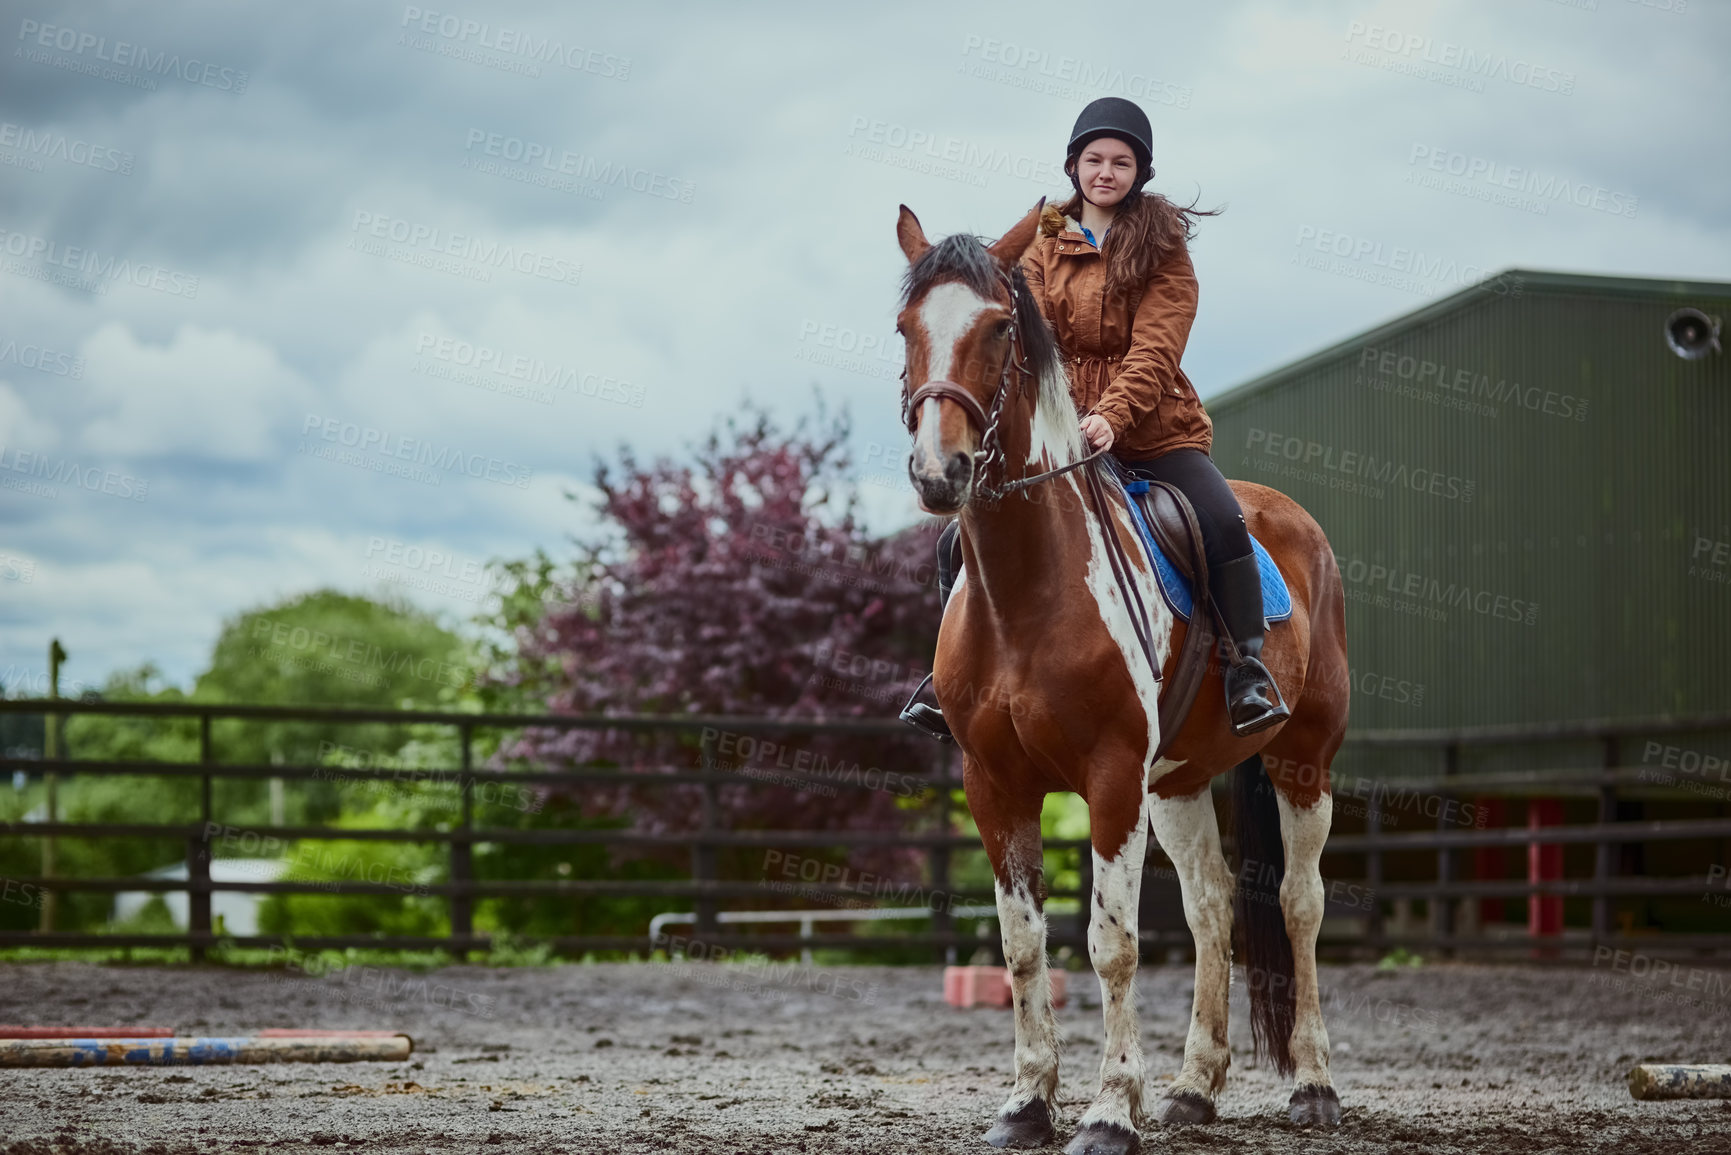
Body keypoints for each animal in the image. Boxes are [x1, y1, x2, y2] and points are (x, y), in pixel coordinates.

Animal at [900, 203, 1357, 1149]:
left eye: (997, 329)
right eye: (904, 328)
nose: (938, 473)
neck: (1026, 587)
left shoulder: (1109, 778)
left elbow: (1110, 944)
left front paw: (1110, 1109)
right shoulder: (993, 782)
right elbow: (1022, 944)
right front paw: (1027, 1102)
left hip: (1302, 761)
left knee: (1298, 903)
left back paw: (1313, 1085)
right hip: (1177, 783)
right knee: (1212, 908)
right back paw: (1193, 1087)